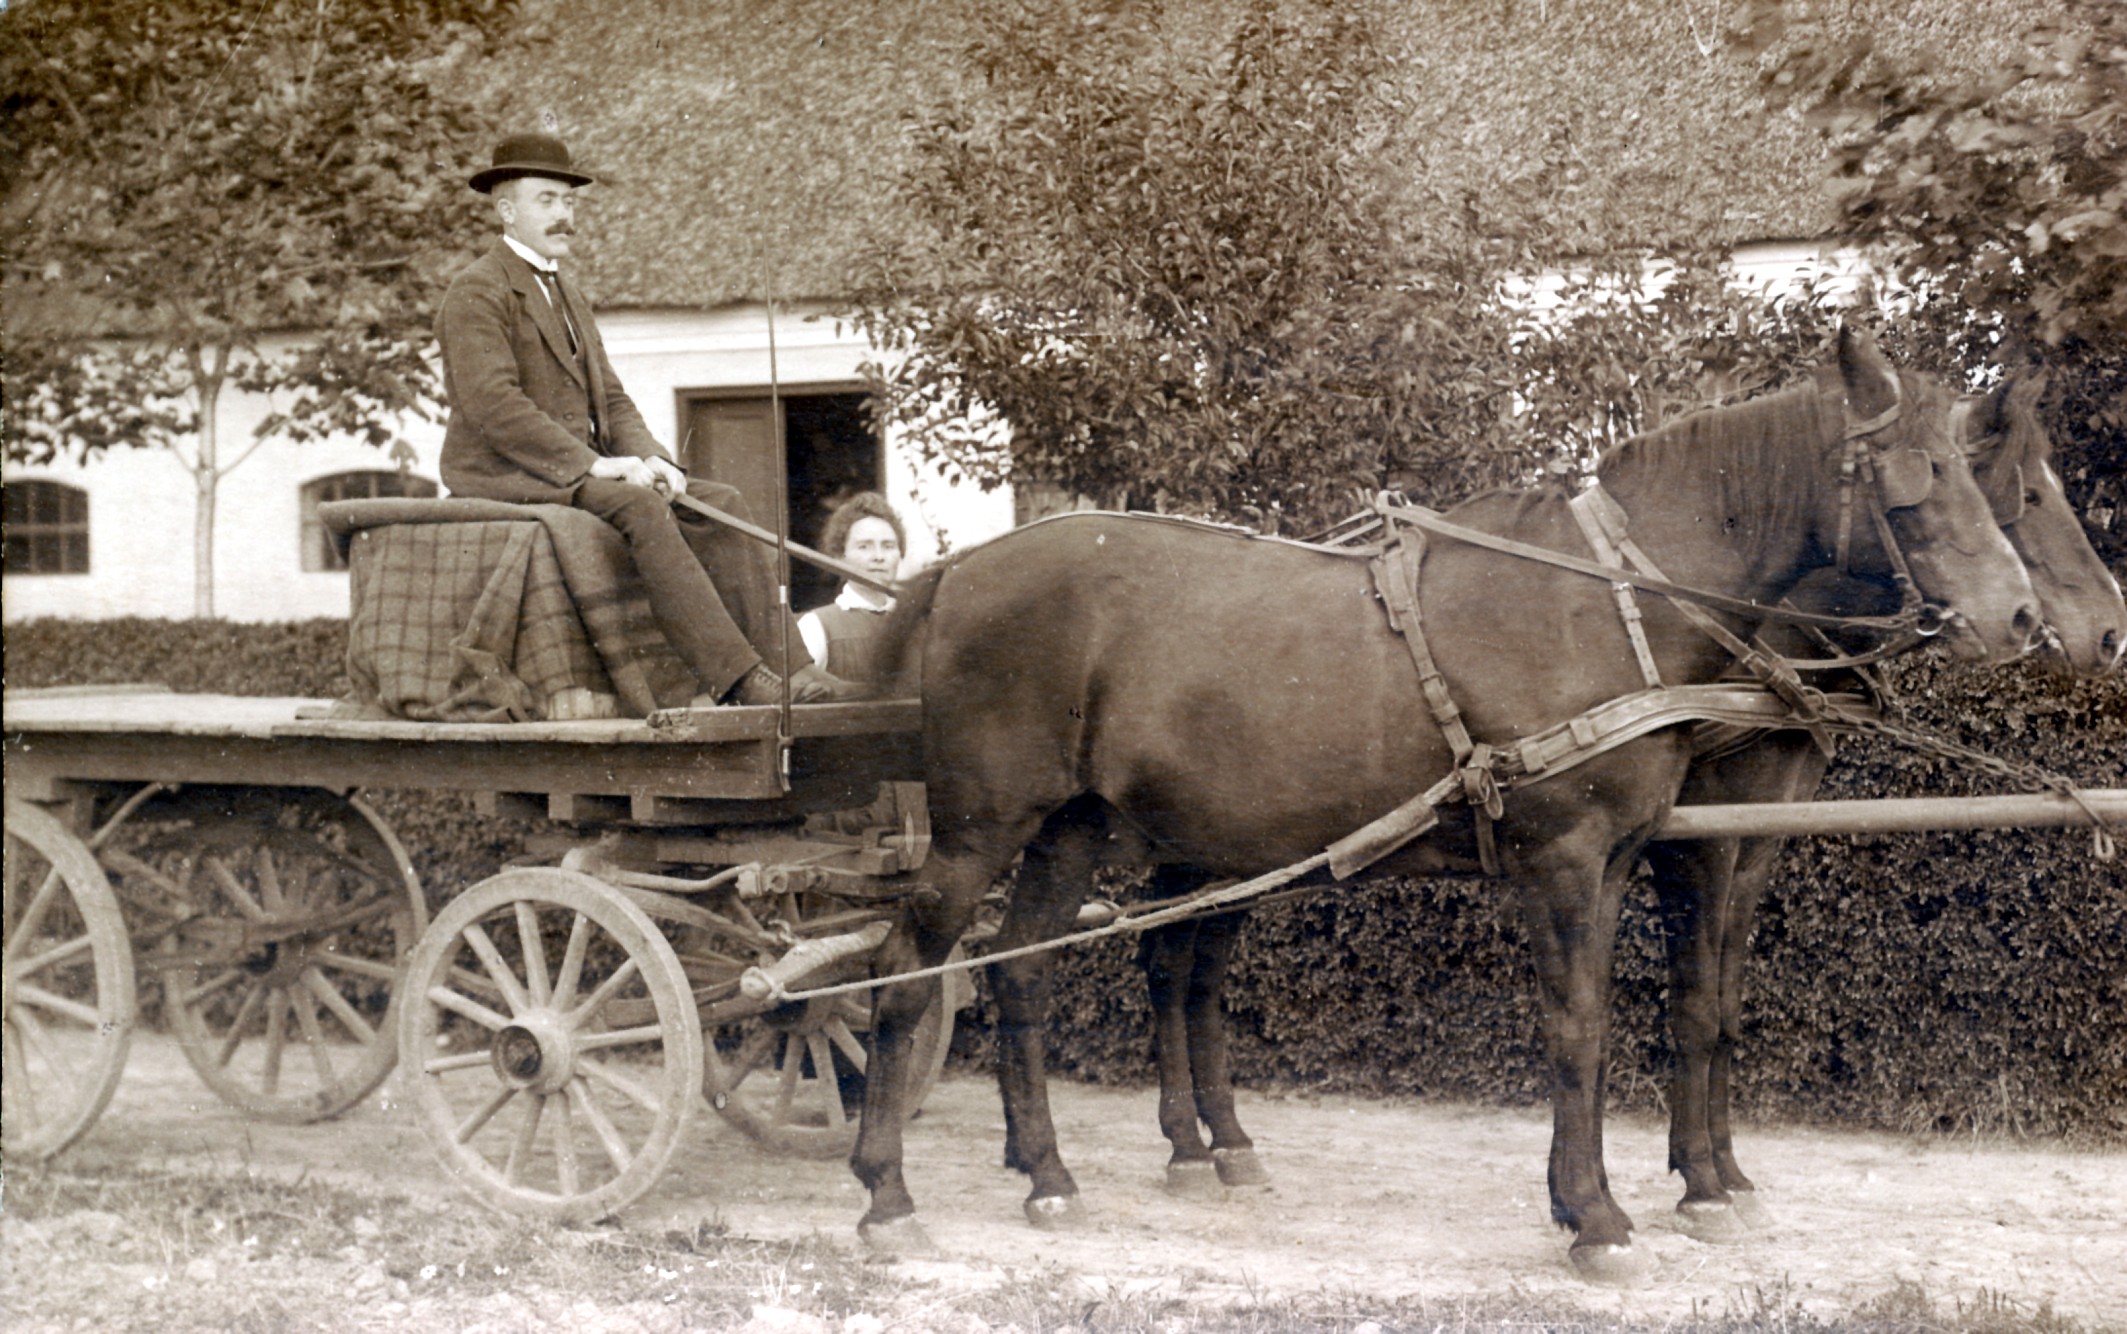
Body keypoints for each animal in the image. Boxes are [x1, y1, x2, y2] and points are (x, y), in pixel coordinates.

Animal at [842, 329, 2024, 1276]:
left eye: (1978, 474)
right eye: (1918, 478)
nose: (2015, 615)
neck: (1615, 605)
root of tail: (961, 569)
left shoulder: (1629, 855)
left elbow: (1652, 1014)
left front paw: (1627, 1194)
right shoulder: (1567, 856)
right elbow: (1578, 1026)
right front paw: (1595, 1215)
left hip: (1072, 830)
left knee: (1026, 973)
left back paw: (1049, 1172)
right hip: (978, 831)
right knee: (907, 972)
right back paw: (886, 1189)